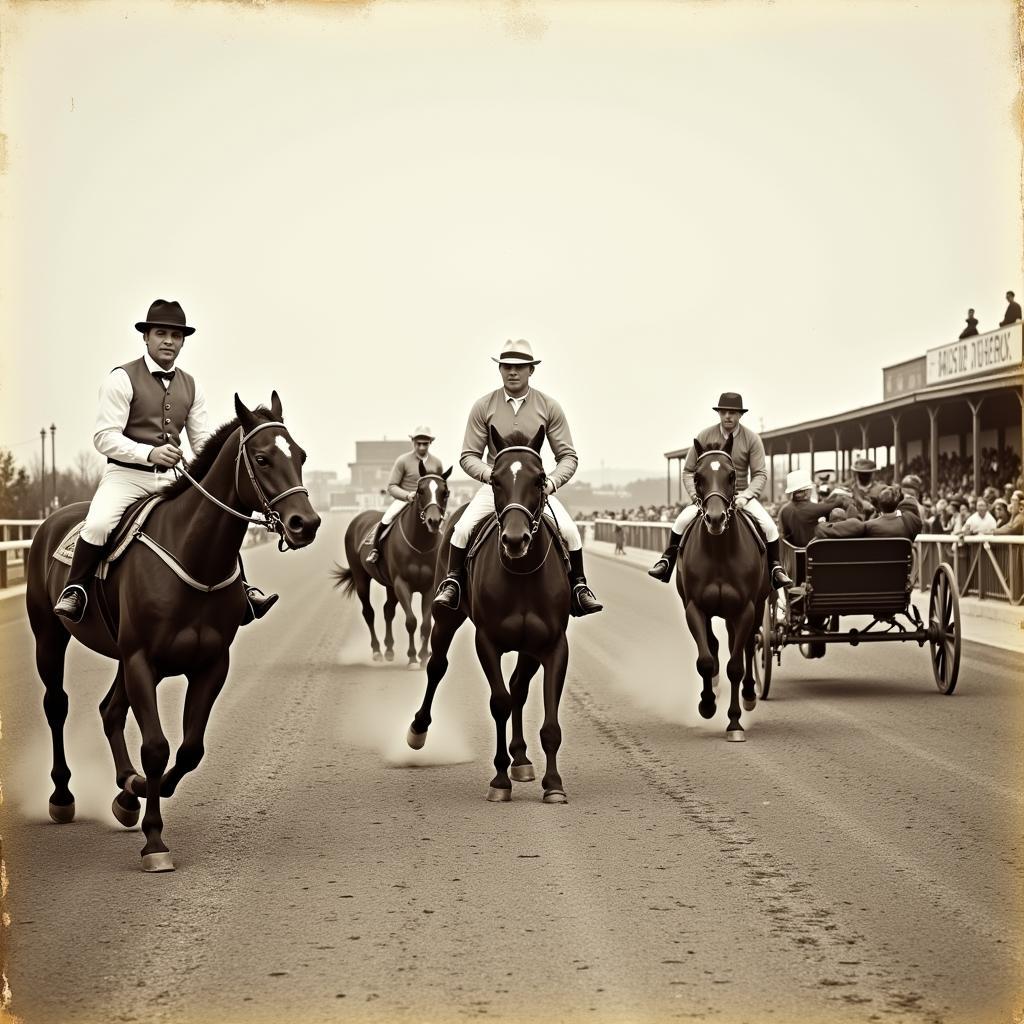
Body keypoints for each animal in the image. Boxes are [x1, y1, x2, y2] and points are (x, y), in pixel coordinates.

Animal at [24, 393, 319, 872]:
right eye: (262, 458)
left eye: (301, 456)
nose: (305, 524)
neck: (193, 553)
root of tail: (54, 519)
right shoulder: (141, 660)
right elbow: (157, 747)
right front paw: (154, 840)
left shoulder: (210, 664)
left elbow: (189, 750)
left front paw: (141, 792)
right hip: (51, 638)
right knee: (57, 706)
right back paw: (63, 796)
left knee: (110, 711)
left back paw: (127, 790)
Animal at [331, 462, 452, 663]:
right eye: (420, 491)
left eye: (445, 492)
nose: (433, 521)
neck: (420, 545)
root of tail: (359, 518)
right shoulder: (401, 583)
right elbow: (411, 621)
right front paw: (412, 658)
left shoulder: (428, 587)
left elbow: (426, 624)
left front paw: (423, 656)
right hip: (361, 577)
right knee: (369, 612)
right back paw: (377, 650)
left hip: (389, 585)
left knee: (388, 610)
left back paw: (388, 649)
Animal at [405, 419, 577, 802]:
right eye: (496, 479)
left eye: (539, 478)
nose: (515, 539)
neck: (521, 574)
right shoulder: (487, 641)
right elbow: (499, 702)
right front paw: (499, 780)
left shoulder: (553, 644)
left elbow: (549, 718)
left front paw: (553, 784)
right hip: (446, 617)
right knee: (437, 667)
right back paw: (418, 730)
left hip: (529, 646)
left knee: (519, 688)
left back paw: (522, 759)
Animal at [679, 436, 770, 741]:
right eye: (698, 477)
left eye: (731, 476)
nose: (716, 518)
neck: (719, 553)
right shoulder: (695, 607)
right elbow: (706, 659)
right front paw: (707, 704)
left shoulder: (744, 609)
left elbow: (736, 666)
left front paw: (734, 722)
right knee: (716, 645)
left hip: (757, 607)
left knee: (748, 646)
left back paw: (750, 694)